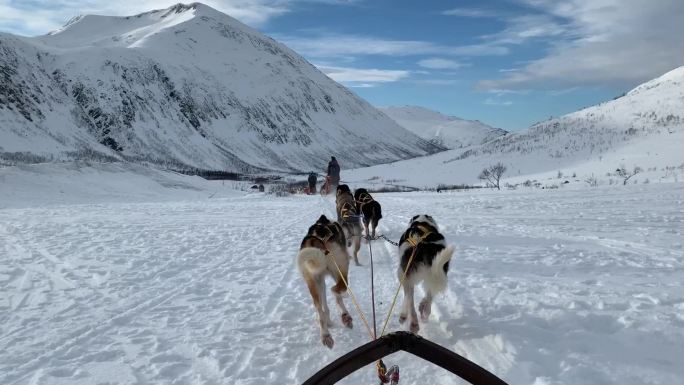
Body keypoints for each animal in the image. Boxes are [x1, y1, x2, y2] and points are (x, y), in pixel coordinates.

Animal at [296, 214, 356, 346]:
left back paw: (325, 334)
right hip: (340, 266)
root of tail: (318, 236)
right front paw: (344, 313)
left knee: (319, 309)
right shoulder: (338, 271)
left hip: (312, 280)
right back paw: (345, 315)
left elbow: (325, 305)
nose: (349, 242)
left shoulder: (320, 279)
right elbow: (338, 293)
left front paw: (329, 321)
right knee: (338, 289)